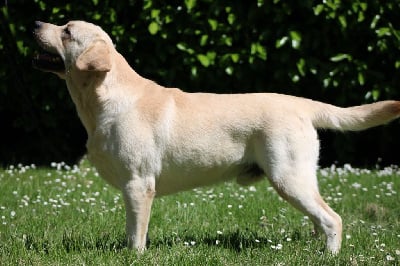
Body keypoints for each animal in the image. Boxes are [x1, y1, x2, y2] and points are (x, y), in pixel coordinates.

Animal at [33, 20, 400, 254]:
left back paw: (329, 255)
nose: (34, 23)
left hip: (288, 176)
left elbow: (135, 235)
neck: (104, 98)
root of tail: (300, 102)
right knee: (320, 218)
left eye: (67, 31)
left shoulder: (138, 184)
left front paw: (132, 256)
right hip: (297, 179)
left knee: (332, 218)